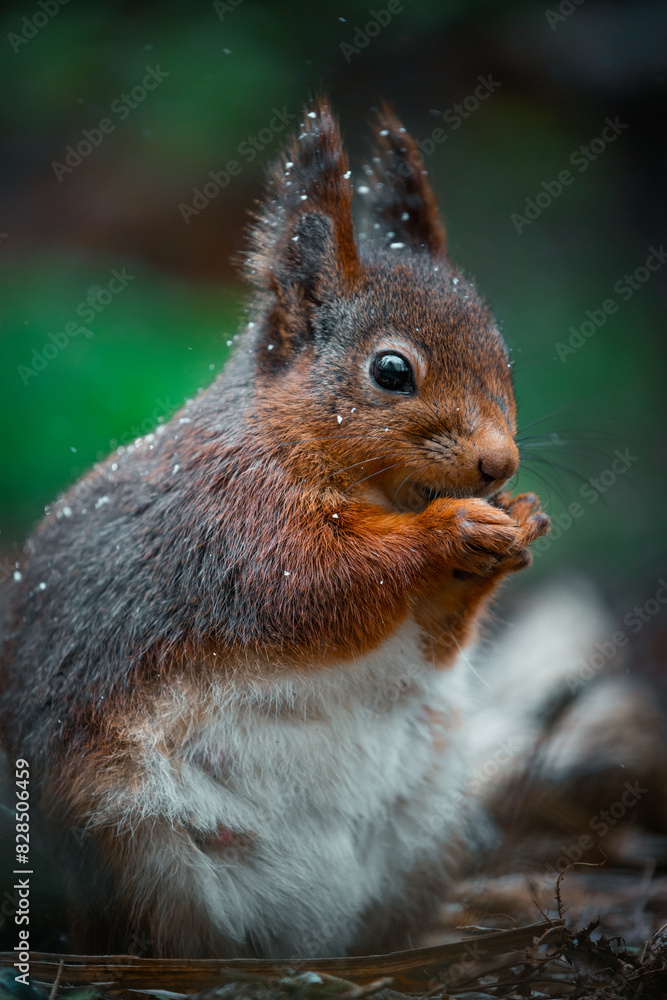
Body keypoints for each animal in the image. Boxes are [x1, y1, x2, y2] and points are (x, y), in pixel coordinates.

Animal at [0, 99, 549, 959]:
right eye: (391, 371)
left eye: (504, 355)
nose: (497, 464)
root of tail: (303, 934)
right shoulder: (236, 531)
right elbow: (324, 589)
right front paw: (448, 530)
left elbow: (430, 637)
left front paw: (514, 527)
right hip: (130, 844)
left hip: (423, 833)